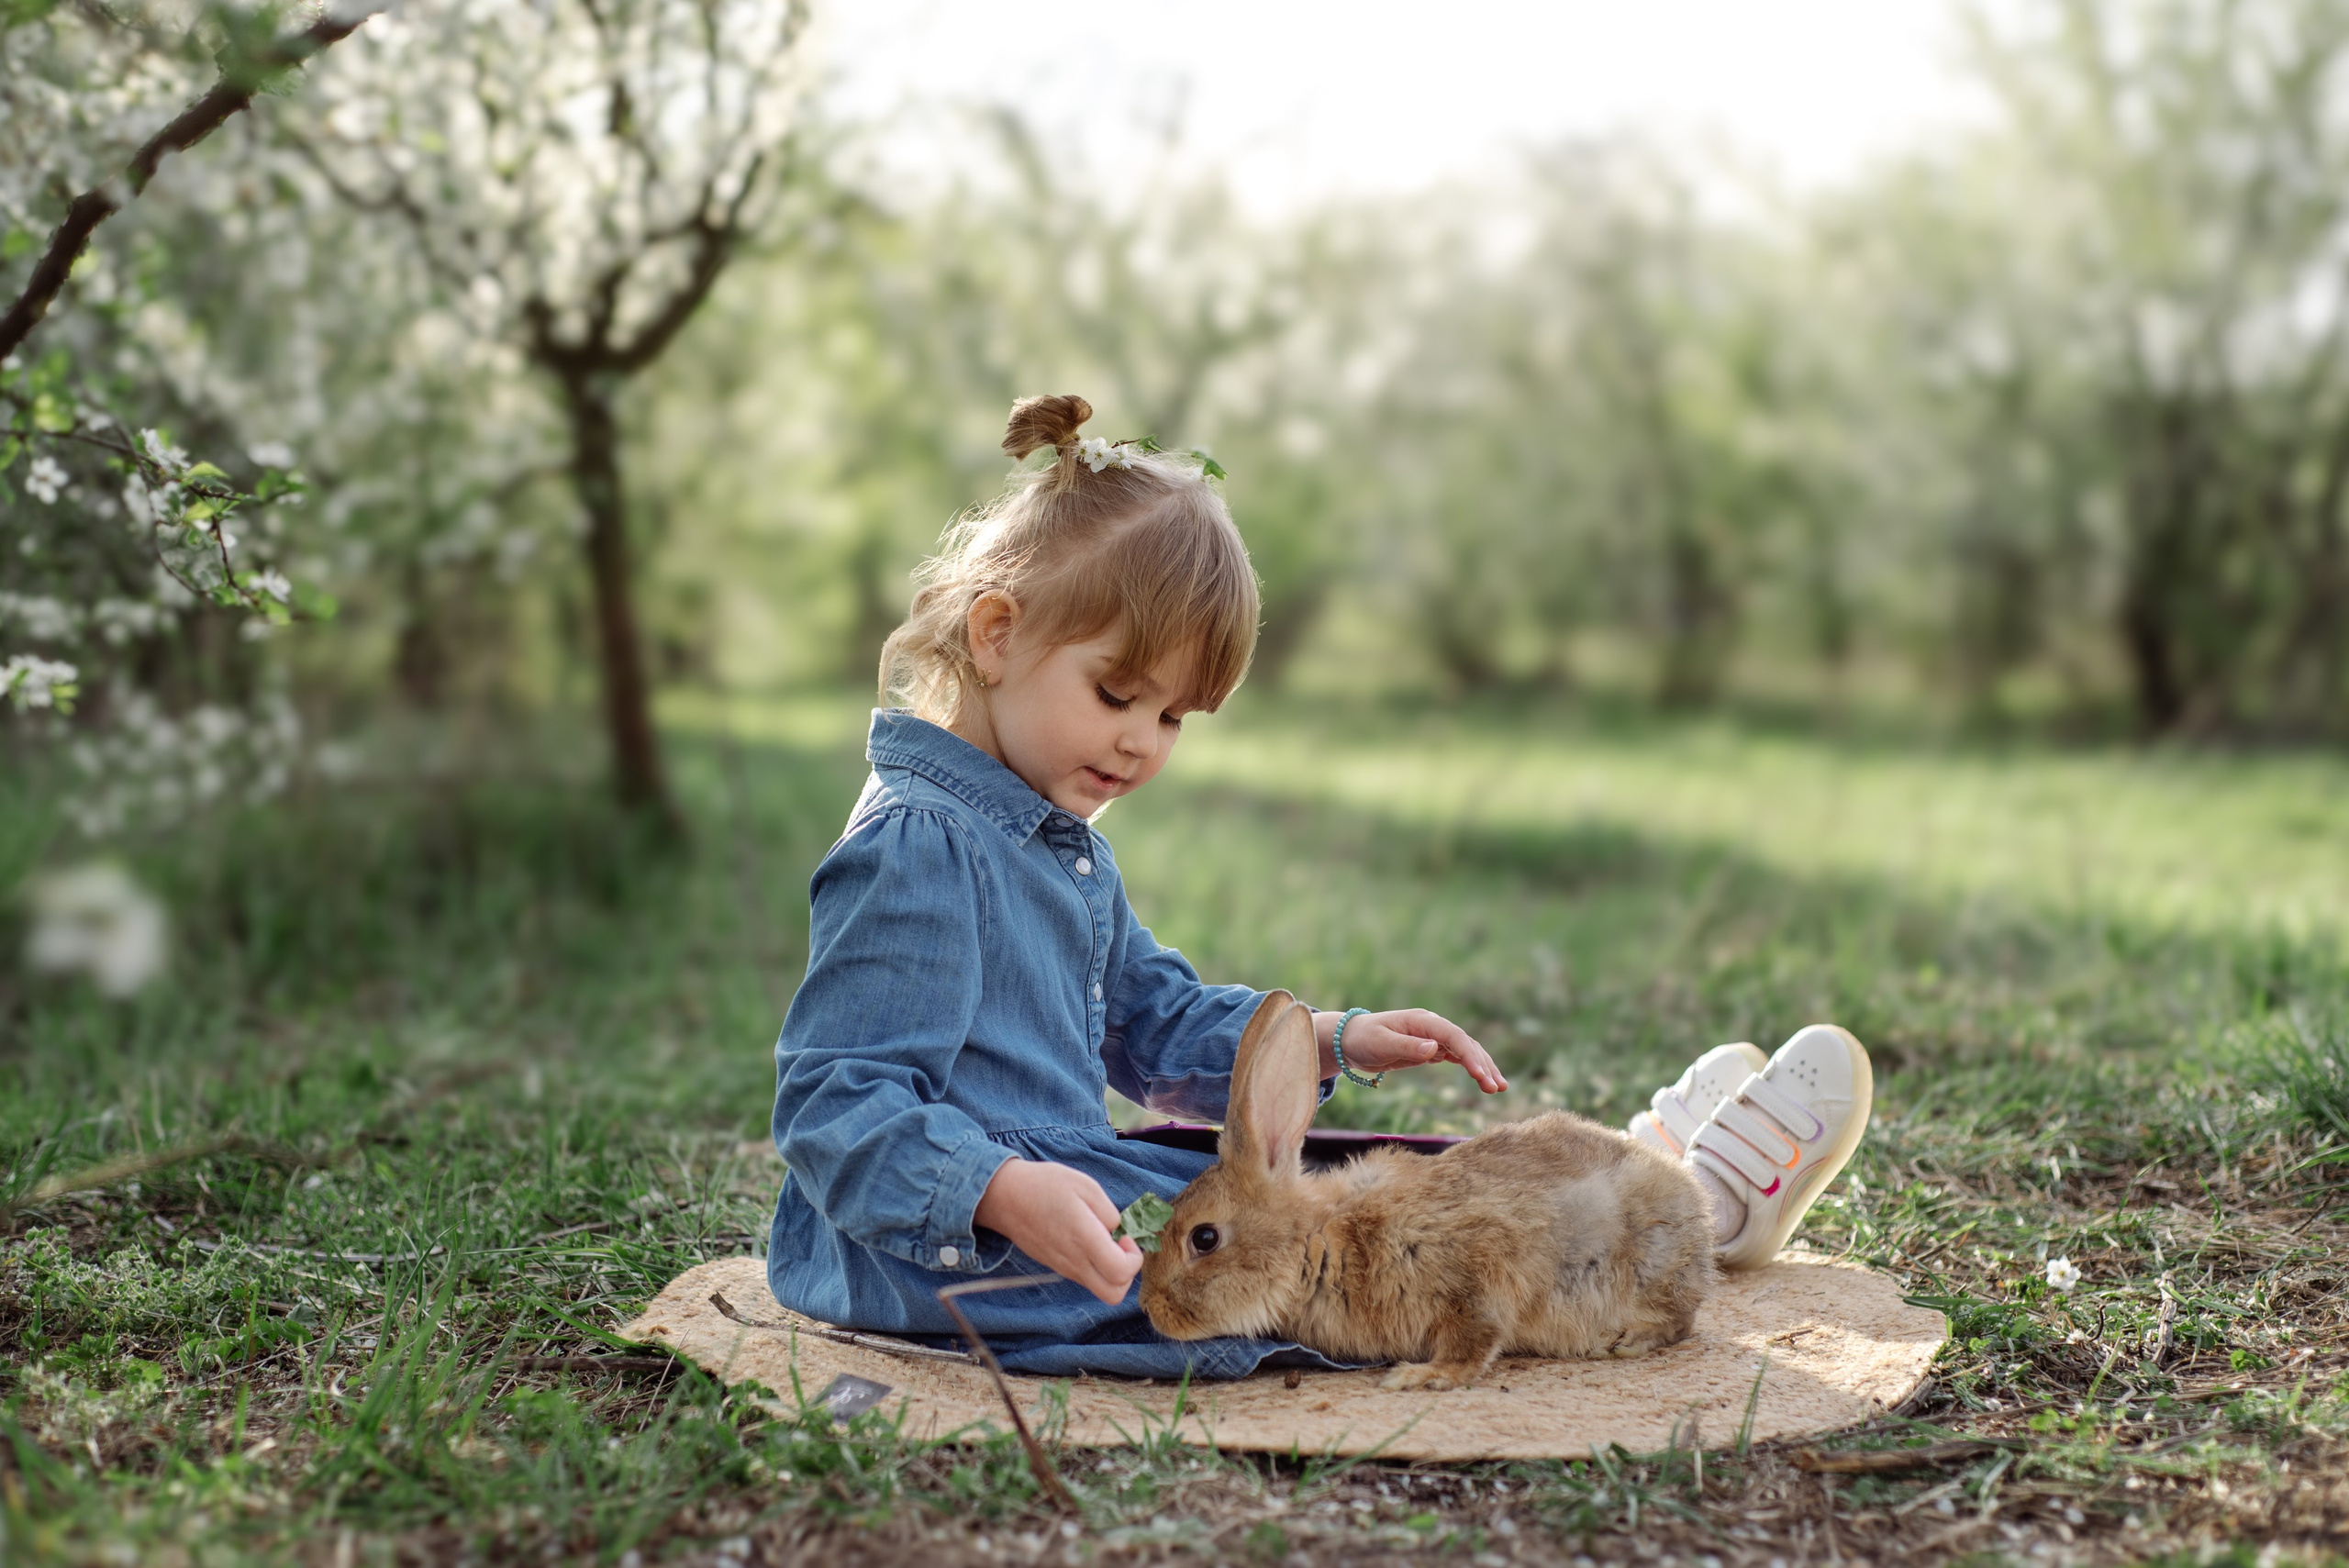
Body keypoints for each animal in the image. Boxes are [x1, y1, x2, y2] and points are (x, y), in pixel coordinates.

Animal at [1138, 991, 1714, 1390]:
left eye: (1204, 1239)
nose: (1150, 1310)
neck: (1319, 1242)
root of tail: (1696, 1206)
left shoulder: (1479, 1267)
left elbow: (1475, 1335)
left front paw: (1421, 1377)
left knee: (1680, 1321)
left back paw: (1622, 1341)